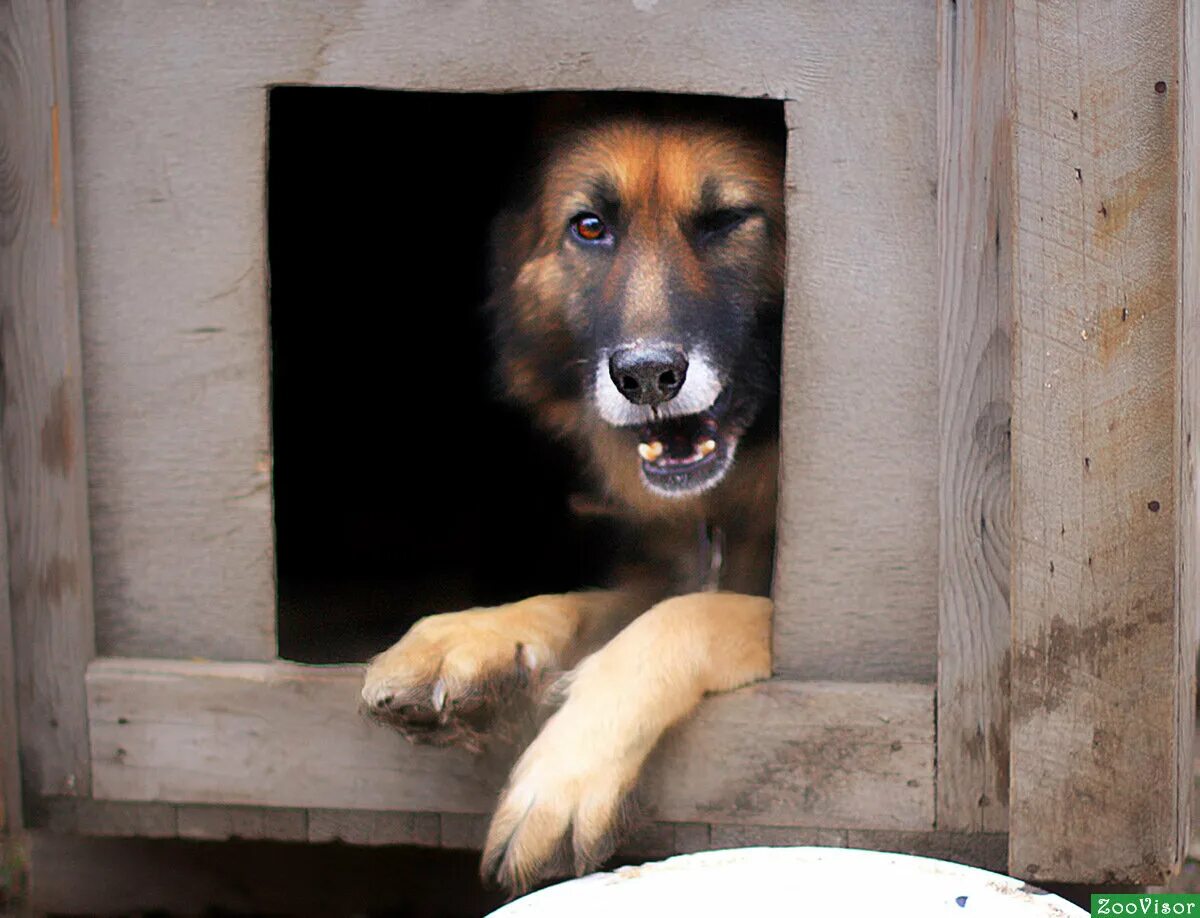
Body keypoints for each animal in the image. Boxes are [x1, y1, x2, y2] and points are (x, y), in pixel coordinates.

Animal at [360, 102, 782, 897]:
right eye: (591, 227)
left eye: (727, 220)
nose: (646, 376)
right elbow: (586, 603)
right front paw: (470, 638)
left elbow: (685, 617)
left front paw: (561, 778)